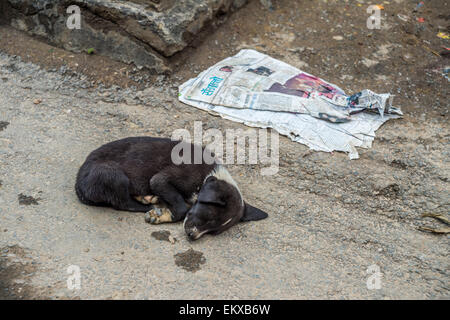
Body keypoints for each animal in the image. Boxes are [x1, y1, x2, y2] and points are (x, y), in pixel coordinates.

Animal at [75, 136, 268, 239]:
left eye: (213, 232)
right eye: (207, 217)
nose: (192, 237)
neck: (207, 177)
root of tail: (78, 183)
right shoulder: (159, 180)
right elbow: (181, 208)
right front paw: (162, 215)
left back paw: (148, 198)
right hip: (113, 175)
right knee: (123, 202)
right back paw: (149, 204)